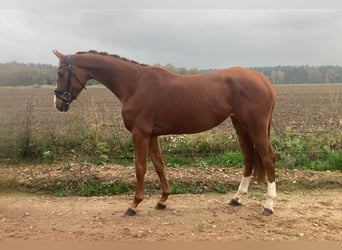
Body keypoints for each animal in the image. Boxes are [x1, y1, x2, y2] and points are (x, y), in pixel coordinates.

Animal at [54, 49, 278, 216]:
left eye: (61, 73)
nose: (58, 103)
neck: (135, 84)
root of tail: (264, 80)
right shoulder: (152, 135)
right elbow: (159, 166)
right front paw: (162, 200)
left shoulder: (140, 134)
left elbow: (140, 168)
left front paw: (134, 205)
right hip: (241, 126)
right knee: (249, 158)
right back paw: (236, 198)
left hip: (256, 127)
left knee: (268, 159)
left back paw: (268, 206)